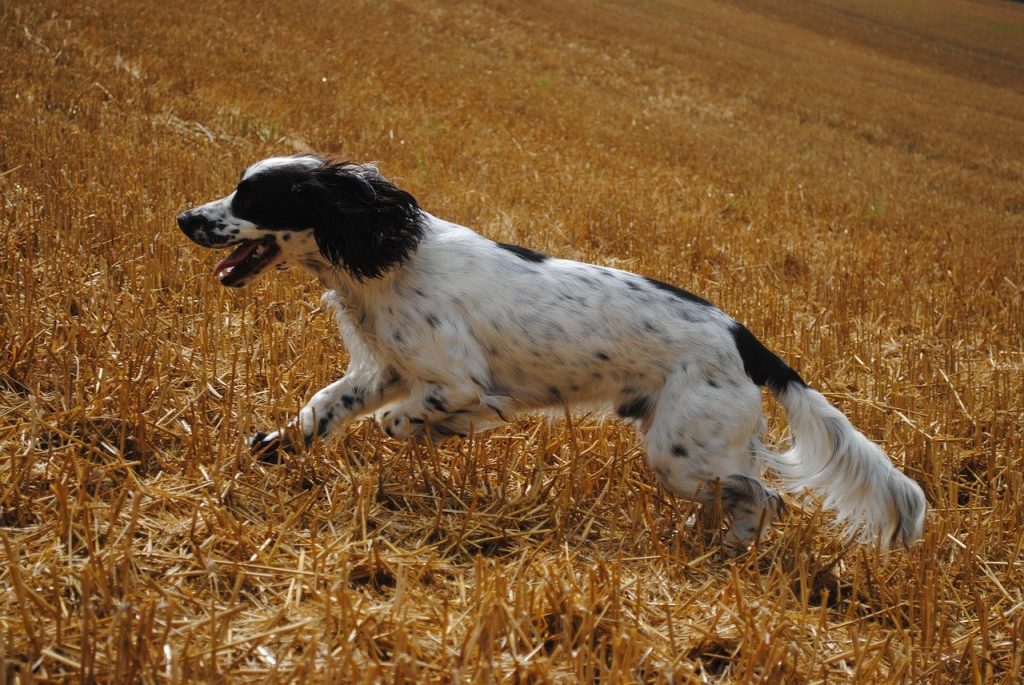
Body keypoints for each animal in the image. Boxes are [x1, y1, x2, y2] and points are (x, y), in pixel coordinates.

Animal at [178, 152, 929, 548]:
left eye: (253, 196)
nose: (185, 217)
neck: (386, 252)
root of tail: (745, 339)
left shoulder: (455, 379)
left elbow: (402, 422)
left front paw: (441, 436)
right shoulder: (386, 367)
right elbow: (323, 407)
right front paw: (272, 446)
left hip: (683, 452)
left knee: (765, 497)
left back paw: (728, 547)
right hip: (685, 448)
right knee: (747, 493)